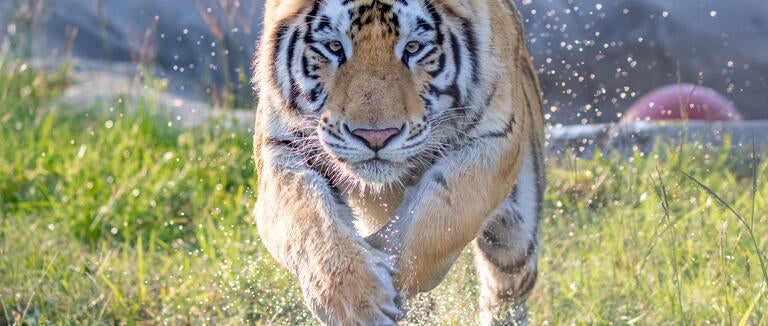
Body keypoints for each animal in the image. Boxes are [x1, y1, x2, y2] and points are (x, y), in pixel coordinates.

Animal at [252, 0, 544, 324]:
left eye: (413, 48)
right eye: (334, 47)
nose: (375, 136)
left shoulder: (494, 137)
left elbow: (444, 213)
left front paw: (388, 267)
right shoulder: (282, 147)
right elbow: (306, 216)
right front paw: (356, 299)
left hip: (514, 241)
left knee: (505, 291)